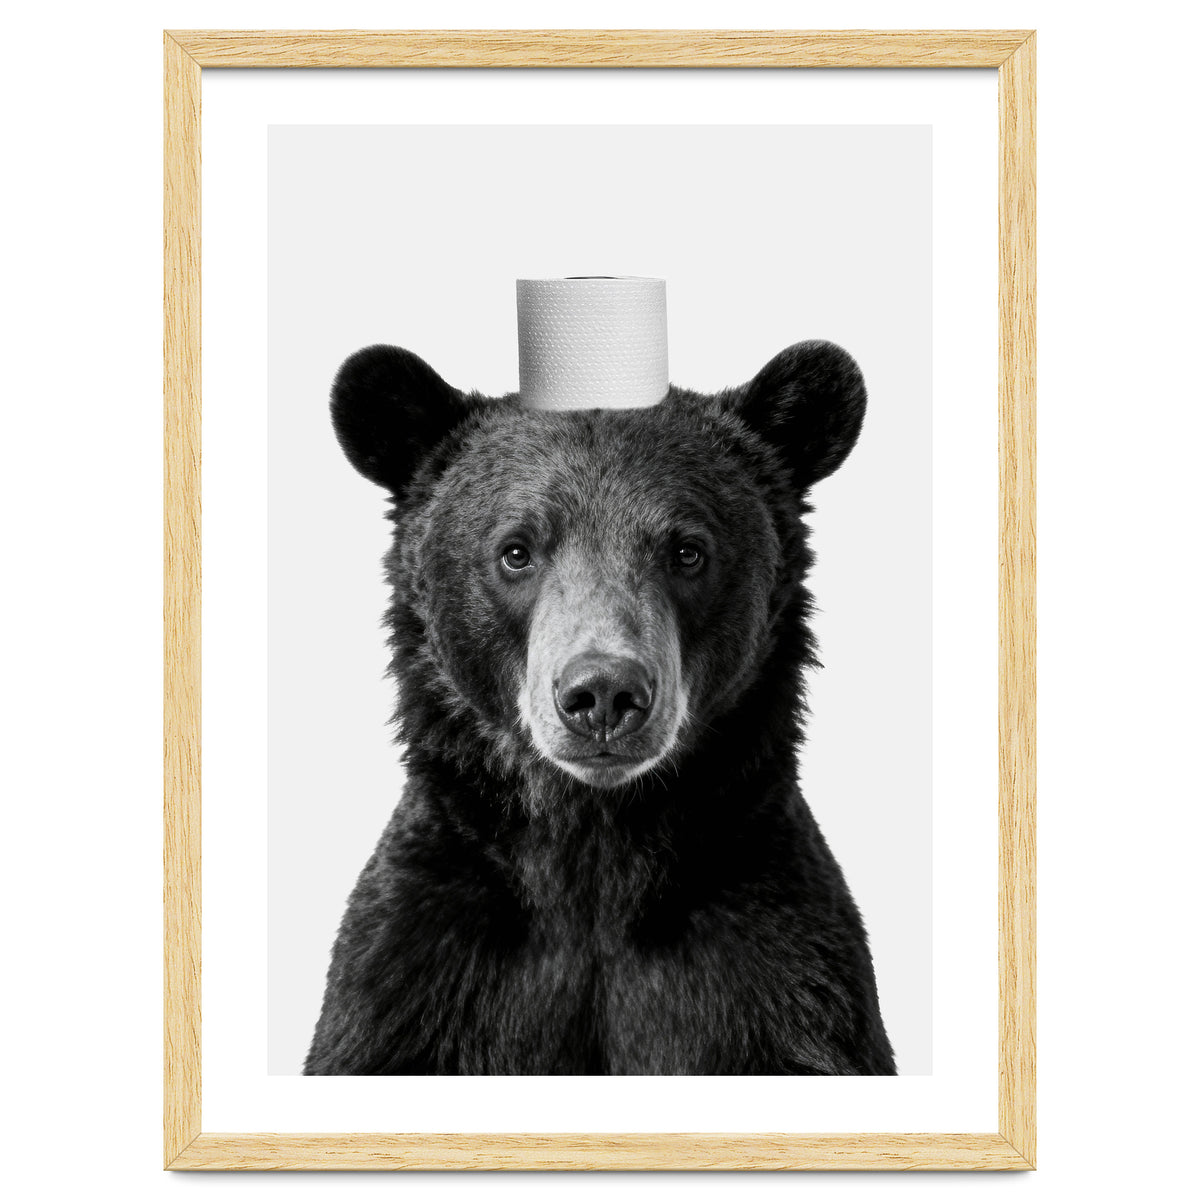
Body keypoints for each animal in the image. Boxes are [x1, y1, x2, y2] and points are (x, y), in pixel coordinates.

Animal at [304, 339, 896, 1076]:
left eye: (687, 551)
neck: (595, 849)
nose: (604, 694)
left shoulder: (779, 972)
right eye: (516, 551)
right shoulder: (417, 972)